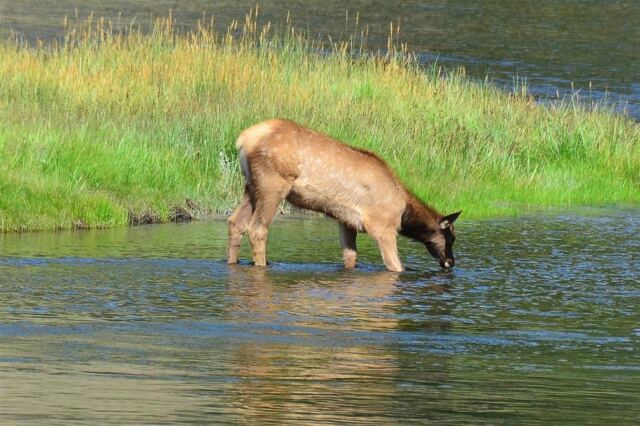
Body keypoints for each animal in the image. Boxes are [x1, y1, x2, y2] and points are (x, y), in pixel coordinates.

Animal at [227, 119, 461, 272]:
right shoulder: (383, 226)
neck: (404, 213)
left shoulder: (346, 221)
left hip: (251, 185)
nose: (451, 262)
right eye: (450, 237)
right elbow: (396, 266)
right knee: (257, 229)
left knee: (236, 222)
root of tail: (242, 140)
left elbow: (350, 257)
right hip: (273, 183)